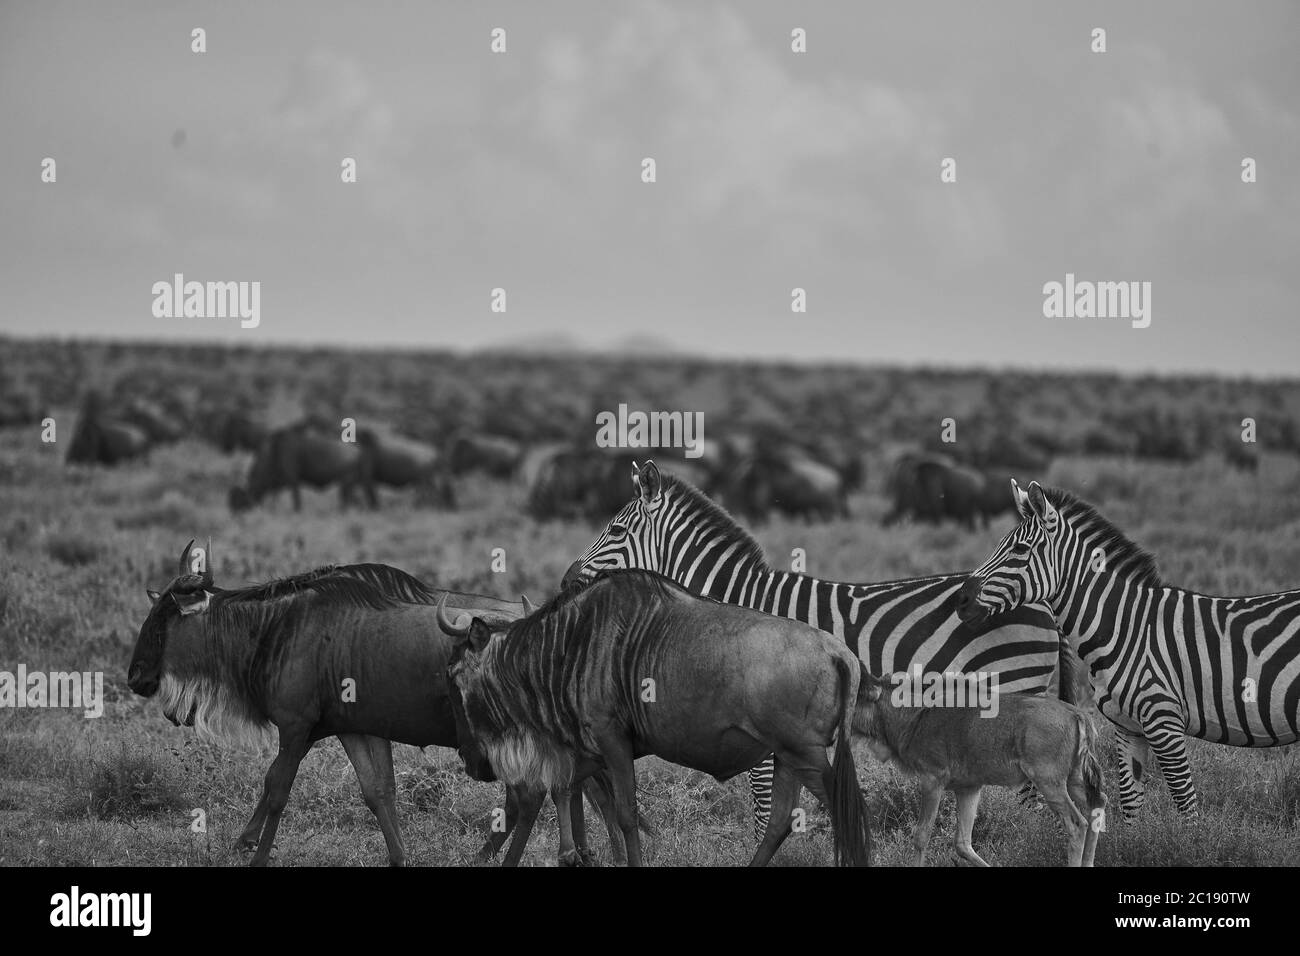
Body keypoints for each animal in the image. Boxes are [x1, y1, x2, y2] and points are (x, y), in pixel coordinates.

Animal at [956, 481, 1300, 816]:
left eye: (1019, 549)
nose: (961, 599)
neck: (1126, 628)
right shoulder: (1127, 728)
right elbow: (1131, 805)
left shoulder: (1164, 722)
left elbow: (1186, 806)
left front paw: (1195, 837)